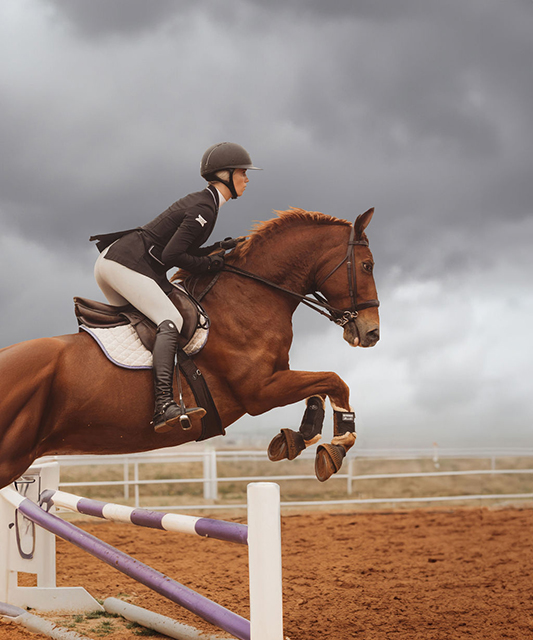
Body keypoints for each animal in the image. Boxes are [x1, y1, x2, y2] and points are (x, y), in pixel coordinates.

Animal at [1, 208, 382, 488]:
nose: (372, 333)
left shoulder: (278, 377)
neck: (249, 298)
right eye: (367, 266)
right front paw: (337, 445)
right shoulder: (259, 391)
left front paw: (299, 436)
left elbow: (320, 387)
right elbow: (334, 380)